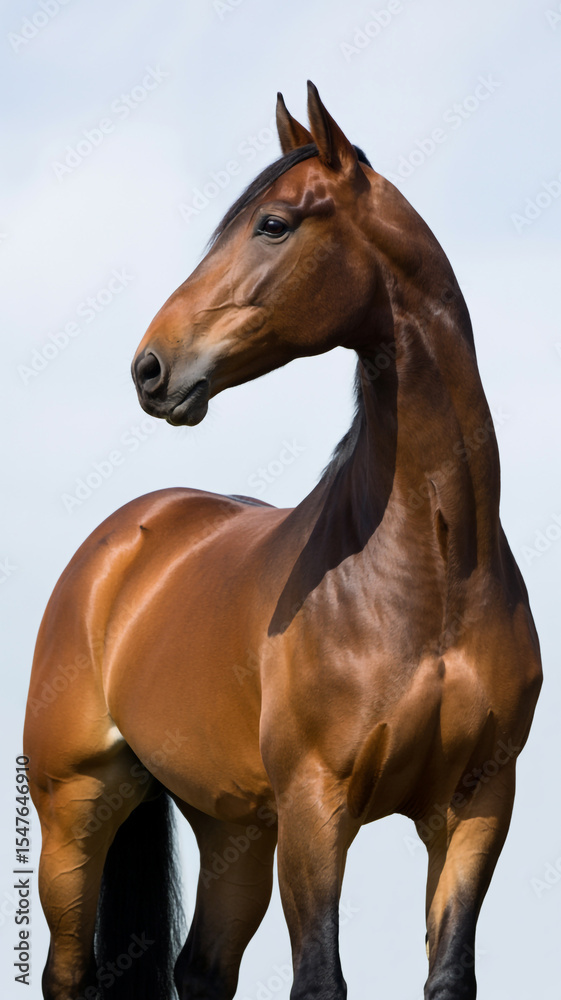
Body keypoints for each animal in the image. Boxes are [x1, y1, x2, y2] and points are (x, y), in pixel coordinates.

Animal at [24, 82, 542, 1000]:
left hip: (231, 825)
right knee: (71, 974)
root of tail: (119, 544)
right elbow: (319, 978)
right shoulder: (315, 807)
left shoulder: (477, 804)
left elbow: (448, 973)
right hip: (73, 810)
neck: (431, 574)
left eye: (273, 223)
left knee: (201, 969)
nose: (150, 369)